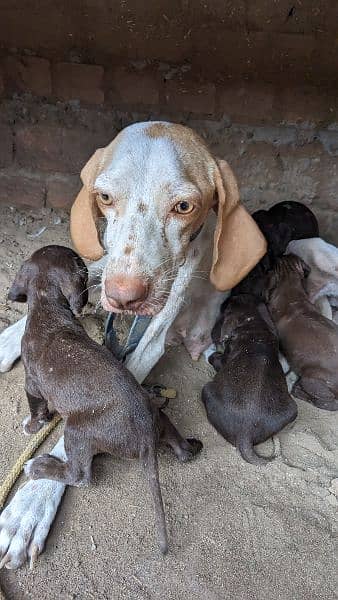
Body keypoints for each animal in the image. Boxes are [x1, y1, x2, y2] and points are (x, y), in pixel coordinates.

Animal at [8, 245, 203, 552]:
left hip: (77, 431)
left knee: (79, 476)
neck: (48, 309)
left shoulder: (32, 384)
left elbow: (37, 408)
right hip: (160, 418)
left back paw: (39, 466)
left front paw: (33, 425)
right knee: (179, 446)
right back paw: (190, 447)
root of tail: (147, 437)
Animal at [202, 292, 298, 466]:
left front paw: (211, 352)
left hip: (207, 390)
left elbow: (216, 359)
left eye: (228, 308)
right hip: (293, 410)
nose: (228, 297)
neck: (254, 326)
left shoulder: (224, 360)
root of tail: (245, 435)